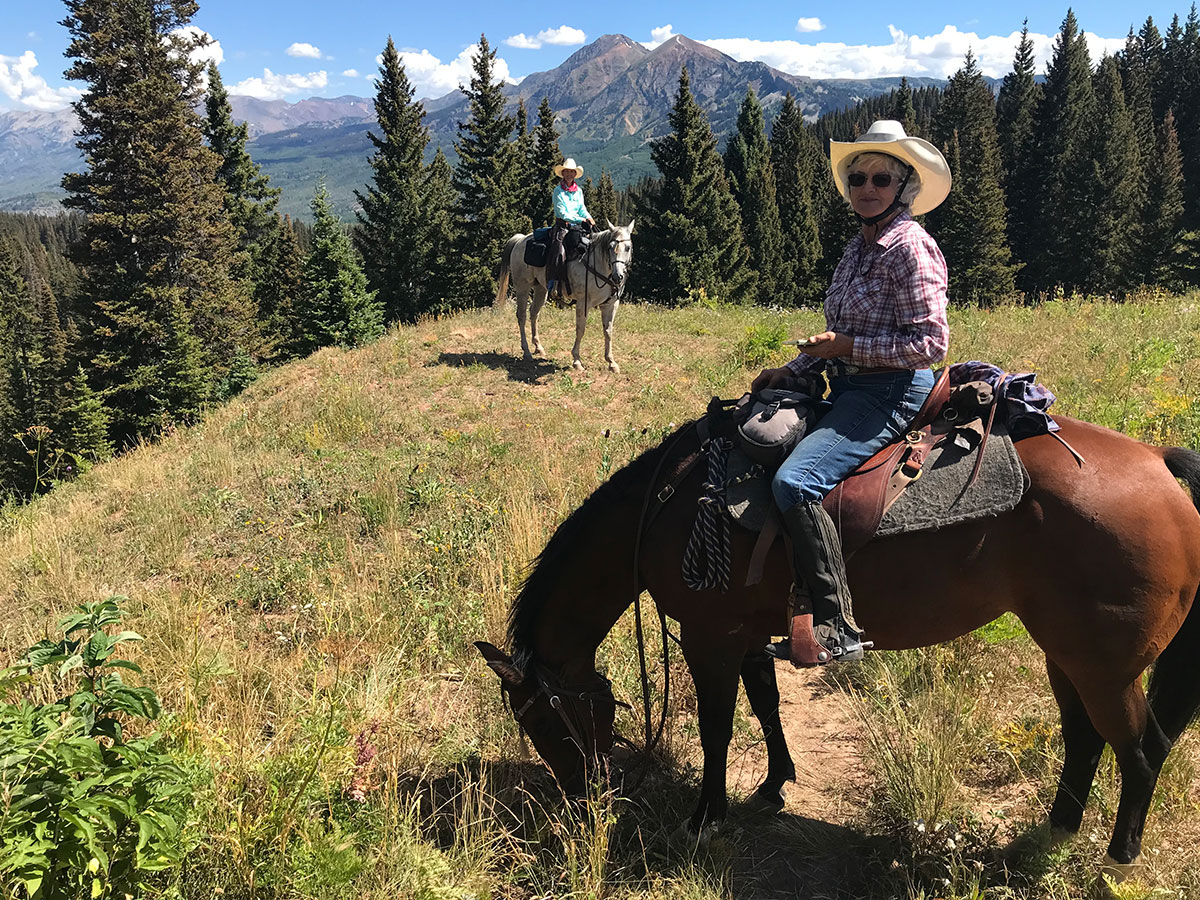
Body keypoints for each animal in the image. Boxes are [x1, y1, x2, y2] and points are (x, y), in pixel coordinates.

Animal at [475, 417, 1200, 888]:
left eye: (542, 725)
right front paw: (773, 784)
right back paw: (1050, 837)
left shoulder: (711, 637)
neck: (669, 507)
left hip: (1104, 666)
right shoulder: (745, 634)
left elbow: (717, 729)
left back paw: (1116, 860)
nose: (582, 799)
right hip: (1065, 653)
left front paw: (706, 818)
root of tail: (1157, 460)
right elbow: (766, 706)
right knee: (1084, 739)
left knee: (1142, 749)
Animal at [489, 222, 633, 374]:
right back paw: (527, 351)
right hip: (522, 288)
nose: (618, 276)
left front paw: (611, 362)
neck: (598, 265)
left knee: (534, 313)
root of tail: (520, 240)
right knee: (521, 316)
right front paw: (577, 360)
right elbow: (580, 329)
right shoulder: (583, 303)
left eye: (628, 248)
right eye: (610, 247)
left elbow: (608, 332)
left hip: (541, 289)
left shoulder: (611, 305)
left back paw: (538, 347)